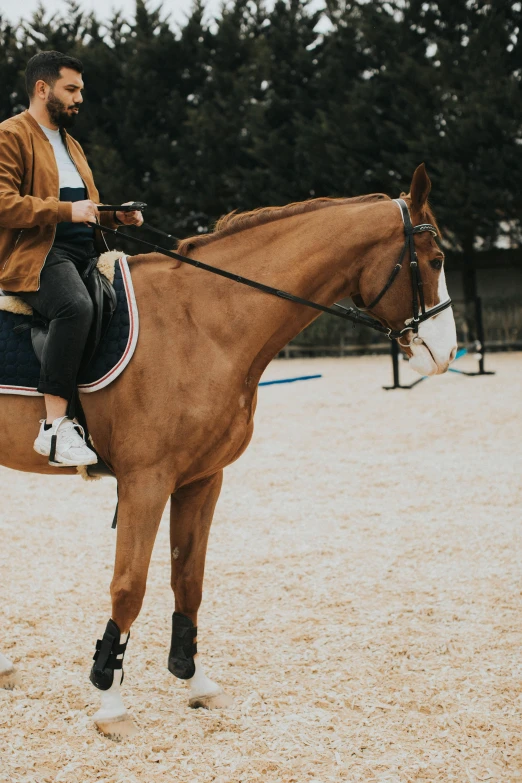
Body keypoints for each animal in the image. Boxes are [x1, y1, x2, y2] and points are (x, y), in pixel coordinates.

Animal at [0, 165, 456, 740]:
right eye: (435, 260)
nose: (447, 353)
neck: (203, 321)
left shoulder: (201, 479)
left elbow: (188, 580)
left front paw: (194, 680)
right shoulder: (146, 482)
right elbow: (129, 586)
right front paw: (110, 701)